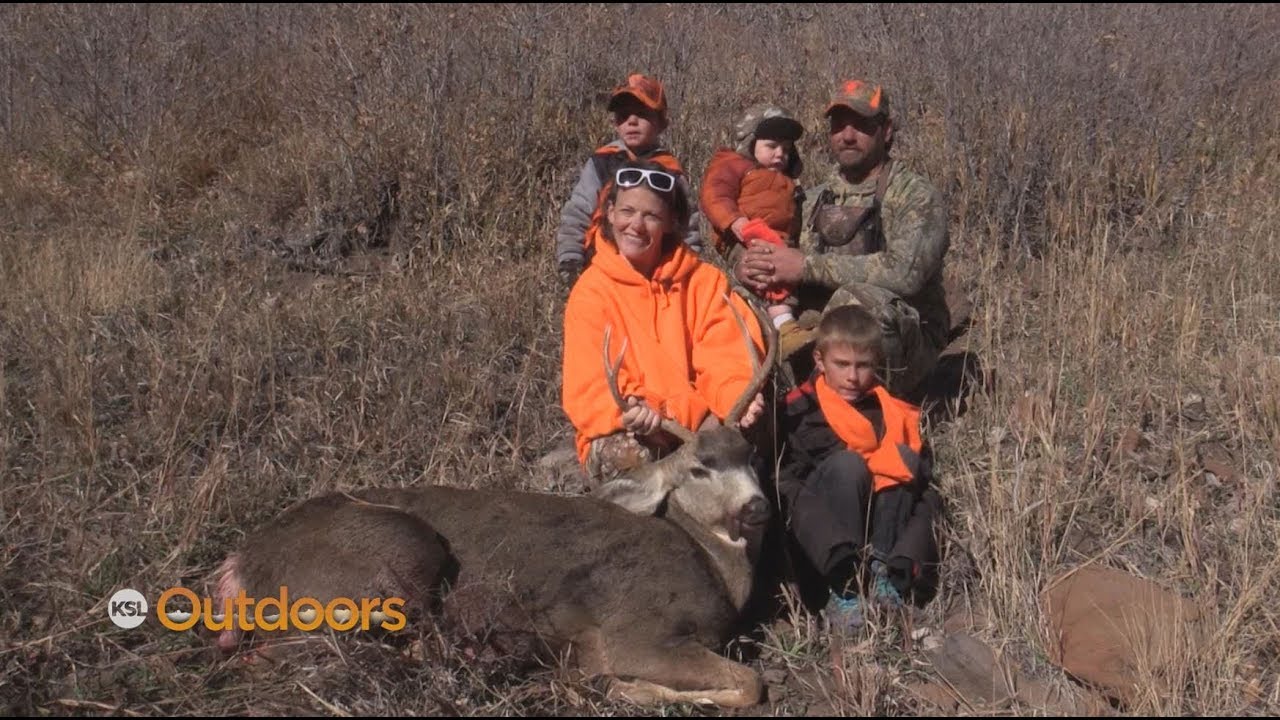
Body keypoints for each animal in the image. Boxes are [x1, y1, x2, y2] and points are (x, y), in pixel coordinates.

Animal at [209, 288, 779, 709]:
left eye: (750, 454)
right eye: (698, 467)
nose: (757, 507)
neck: (711, 566)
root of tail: (240, 564)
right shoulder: (637, 629)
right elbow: (751, 684)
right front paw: (617, 684)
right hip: (395, 556)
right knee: (279, 657)